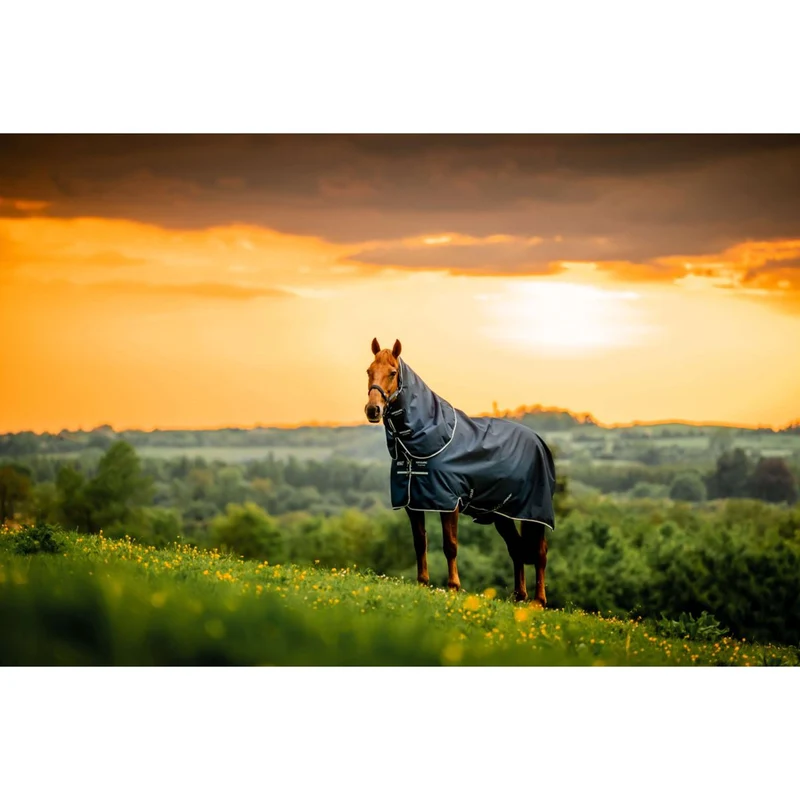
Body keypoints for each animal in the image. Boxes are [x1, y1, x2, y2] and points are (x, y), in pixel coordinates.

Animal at [365, 337, 556, 606]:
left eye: (392, 372)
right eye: (369, 371)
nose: (373, 410)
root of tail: (538, 441)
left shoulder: (449, 502)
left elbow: (450, 545)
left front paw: (454, 587)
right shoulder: (413, 503)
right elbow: (420, 542)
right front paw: (422, 583)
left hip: (534, 512)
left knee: (540, 551)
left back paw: (538, 601)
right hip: (503, 514)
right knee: (516, 549)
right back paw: (519, 597)